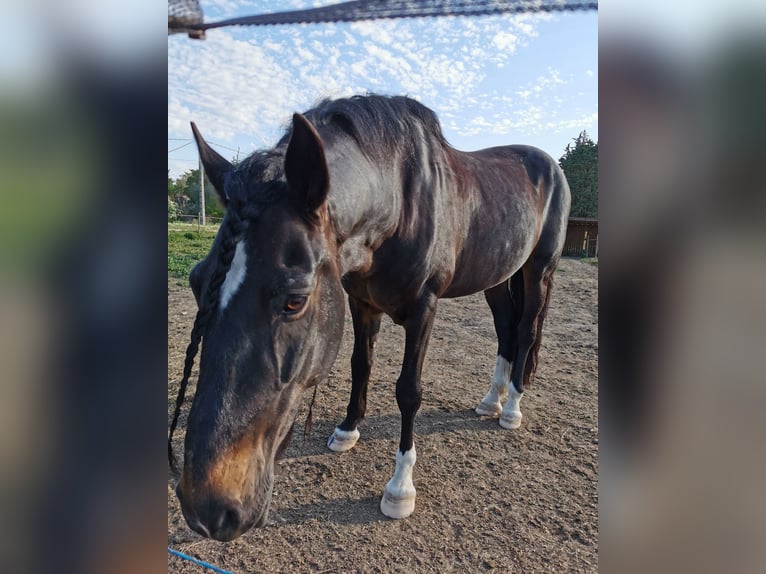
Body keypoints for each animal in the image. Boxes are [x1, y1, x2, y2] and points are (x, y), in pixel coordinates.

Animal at [171, 93, 572, 540]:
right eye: (196, 281)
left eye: (295, 300)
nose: (207, 508)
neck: (399, 202)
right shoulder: (361, 302)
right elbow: (360, 364)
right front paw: (347, 429)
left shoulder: (424, 308)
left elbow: (408, 391)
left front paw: (400, 488)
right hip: (498, 278)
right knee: (505, 330)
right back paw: (491, 400)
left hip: (539, 270)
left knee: (525, 331)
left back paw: (512, 406)